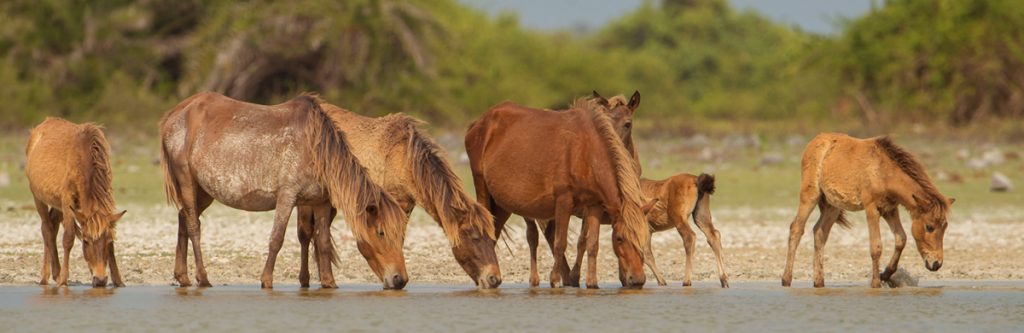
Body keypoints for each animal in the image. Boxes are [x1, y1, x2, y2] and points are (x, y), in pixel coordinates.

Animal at [25, 117, 125, 286]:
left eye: (108, 241)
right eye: (85, 241)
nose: (100, 280)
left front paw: (118, 280)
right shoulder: (67, 199)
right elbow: (68, 238)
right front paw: (64, 279)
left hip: (56, 203)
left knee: (52, 226)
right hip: (37, 197)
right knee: (46, 228)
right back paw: (48, 276)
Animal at [159, 91, 407, 286]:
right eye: (381, 232)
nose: (400, 280)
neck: (316, 148)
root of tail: (175, 114)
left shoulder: (321, 202)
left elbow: (324, 242)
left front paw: (329, 283)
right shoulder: (287, 197)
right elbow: (276, 239)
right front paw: (266, 280)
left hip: (204, 191)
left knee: (183, 217)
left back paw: (182, 276)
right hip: (187, 181)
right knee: (194, 227)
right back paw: (203, 278)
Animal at [294, 104, 501, 286]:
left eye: (493, 239)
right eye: (474, 236)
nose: (494, 279)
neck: (401, 159)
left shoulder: (403, 206)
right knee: (305, 234)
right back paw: (306, 280)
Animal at [464, 97, 647, 286]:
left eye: (645, 239)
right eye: (620, 239)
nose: (638, 279)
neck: (586, 152)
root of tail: (478, 123)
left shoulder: (595, 205)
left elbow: (592, 243)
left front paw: (591, 282)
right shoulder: (564, 201)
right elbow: (560, 243)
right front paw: (555, 279)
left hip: (503, 203)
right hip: (483, 188)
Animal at [778, 133, 954, 286]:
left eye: (945, 227)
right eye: (929, 227)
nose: (936, 264)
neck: (883, 172)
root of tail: (816, 140)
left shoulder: (890, 209)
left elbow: (901, 239)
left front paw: (886, 274)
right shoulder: (871, 209)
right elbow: (876, 247)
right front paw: (876, 283)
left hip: (832, 206)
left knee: (820, 233)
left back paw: (819, 282)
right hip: (810, 197)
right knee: (796, 229)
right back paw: (786, 279)